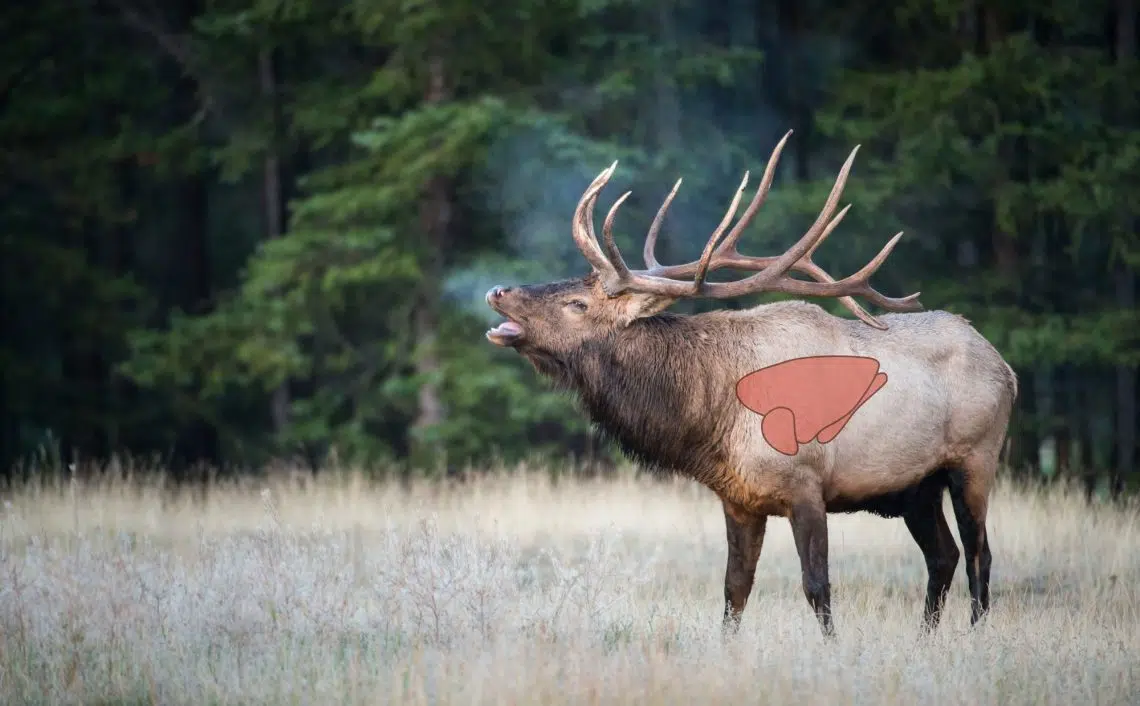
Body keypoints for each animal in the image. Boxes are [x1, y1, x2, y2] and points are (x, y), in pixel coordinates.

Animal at [485, 130, 1021, 638]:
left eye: (576, 303)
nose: (497, 290)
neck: (715, 416)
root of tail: (1007, 369)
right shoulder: (739, 499)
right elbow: (734, 590)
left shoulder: (807, 484)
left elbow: (817, 586)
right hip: (916, 487)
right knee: (944, 556)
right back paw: (924, 639)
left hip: (975, 459)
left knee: (980, 557)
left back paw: (973, 637)